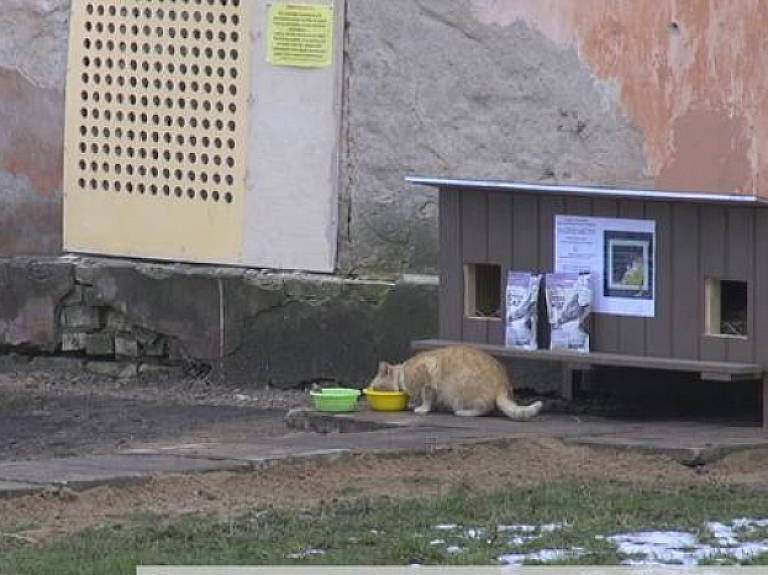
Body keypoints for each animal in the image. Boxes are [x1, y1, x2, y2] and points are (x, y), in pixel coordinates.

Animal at [370, 344, 540, 420]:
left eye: (373, 386)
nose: (369, 388)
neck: (403, 372)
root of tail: (502, 385)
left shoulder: (427, 382)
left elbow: (426, 398)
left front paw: (422, 408)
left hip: (460, 393)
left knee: (484, 409)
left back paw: (464, 412)